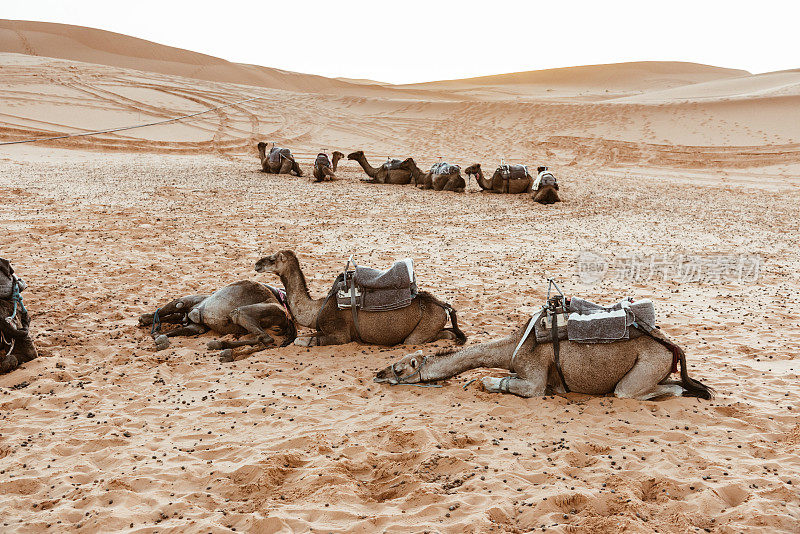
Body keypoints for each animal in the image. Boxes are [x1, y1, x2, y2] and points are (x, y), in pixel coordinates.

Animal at [138, 280, 296, 364]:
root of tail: (286, 317)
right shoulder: (195, 326)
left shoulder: (186, 302)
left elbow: (170, 309)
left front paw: (151, 327)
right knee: (263, 339)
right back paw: (222, 347)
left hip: (248, 312)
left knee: (263, 336)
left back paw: (222, 348)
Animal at [256, 253, 466, 350]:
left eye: (273, 259)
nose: (257, 264)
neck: (316, 309)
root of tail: (443, 306)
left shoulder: (339, 334)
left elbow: (300, 340)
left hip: (424, 327)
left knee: (425, 338)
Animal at [376, 318, 712, 402]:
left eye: (399, 368)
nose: (379, 374)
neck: (513, 345)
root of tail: (673, 348)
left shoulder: (534, 374)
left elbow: (517, 385)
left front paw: (487, 382)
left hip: (647, 366)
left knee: (634, 391)